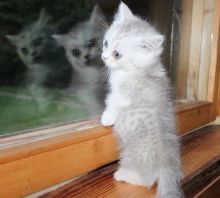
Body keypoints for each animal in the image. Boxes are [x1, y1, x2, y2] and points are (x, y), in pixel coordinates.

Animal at [100, 1, 181, 198]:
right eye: (106, 43)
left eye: (117, 54)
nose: (104, 56)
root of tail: (168, 161)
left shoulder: (125, 93)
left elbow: (114, 102)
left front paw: (107, 117)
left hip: (132, 156)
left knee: (146, 179)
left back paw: (123, 175)